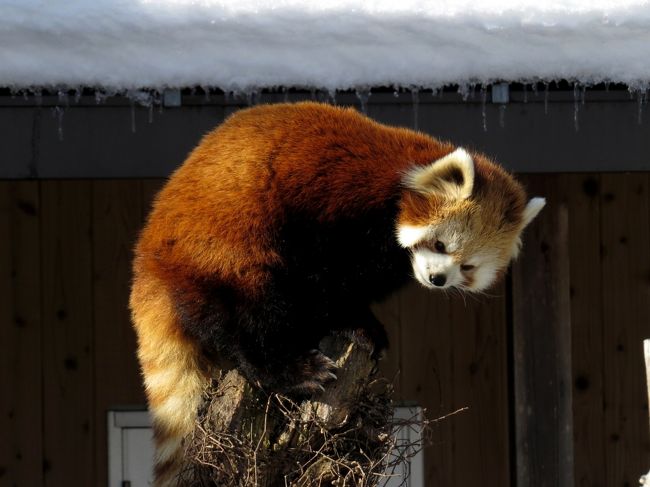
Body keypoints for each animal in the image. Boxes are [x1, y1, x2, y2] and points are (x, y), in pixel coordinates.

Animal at [129, 101, 544, 486]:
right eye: (440, 245)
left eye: (468, 267)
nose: (437, 278)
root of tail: (148, 262)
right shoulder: (331, 206)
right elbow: (320, 282)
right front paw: (351, 322)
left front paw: (368, 325)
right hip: (225, 247)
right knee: (249, 314)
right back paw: (294, 369)